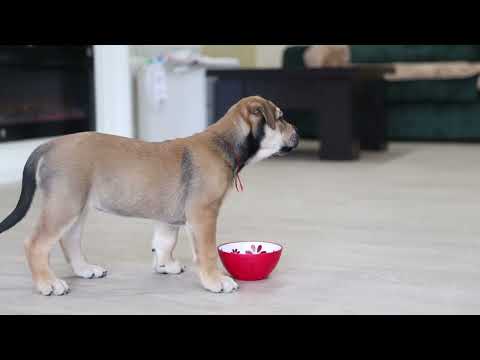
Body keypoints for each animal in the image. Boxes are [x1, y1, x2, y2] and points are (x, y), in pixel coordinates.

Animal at [0, 95, 298, 296]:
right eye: (281, 118)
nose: (296, 132)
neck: (223, 142)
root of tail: (50, 144)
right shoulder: (204, 214)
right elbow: (206, 252)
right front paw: (215, 280)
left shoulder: (168, 218)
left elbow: (164, 242)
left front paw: (165, 266)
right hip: (65, 205)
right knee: (36, 244)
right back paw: (47, 283)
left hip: (76, 206)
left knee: (69, 240)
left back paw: (85, 269)